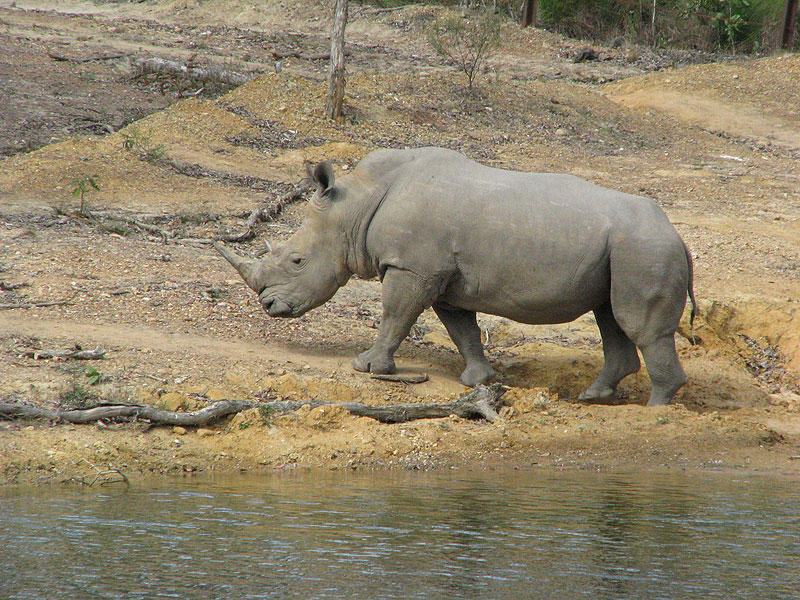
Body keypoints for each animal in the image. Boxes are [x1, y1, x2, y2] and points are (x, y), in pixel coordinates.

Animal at [215, 147, 695, 406]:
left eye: (297, 261)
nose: (269, 306)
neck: (355, 205)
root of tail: (679, 236)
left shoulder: (412, 266)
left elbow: (395, 315)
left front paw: (368, 367)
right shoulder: (441, 276)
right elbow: (461, 329)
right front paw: (478, 381)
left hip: (646, 250)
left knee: (636, 324)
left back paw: (656, 409)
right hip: (626, 249)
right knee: (610, 316)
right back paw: (594, 397)